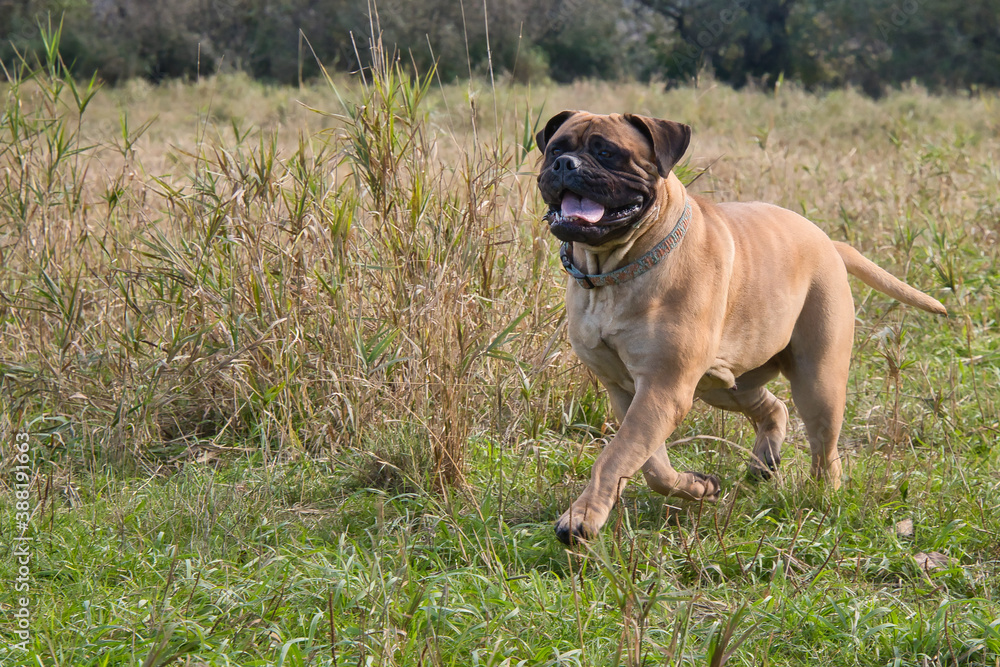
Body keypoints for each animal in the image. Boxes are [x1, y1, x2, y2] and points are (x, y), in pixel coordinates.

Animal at [536, 112, 948, 544]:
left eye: (607, 153)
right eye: (555, 148)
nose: (564, 164)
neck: (615, 269)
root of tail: (830, 243)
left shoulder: (663, 389)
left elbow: (615, 456)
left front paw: (581, 518)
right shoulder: (628, 390)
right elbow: (649, 463)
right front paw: (695, 486)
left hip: (817, 381)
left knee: (825, 447)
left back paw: (824, 498)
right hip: (723, 383)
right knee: (773, 406)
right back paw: (765, 460)